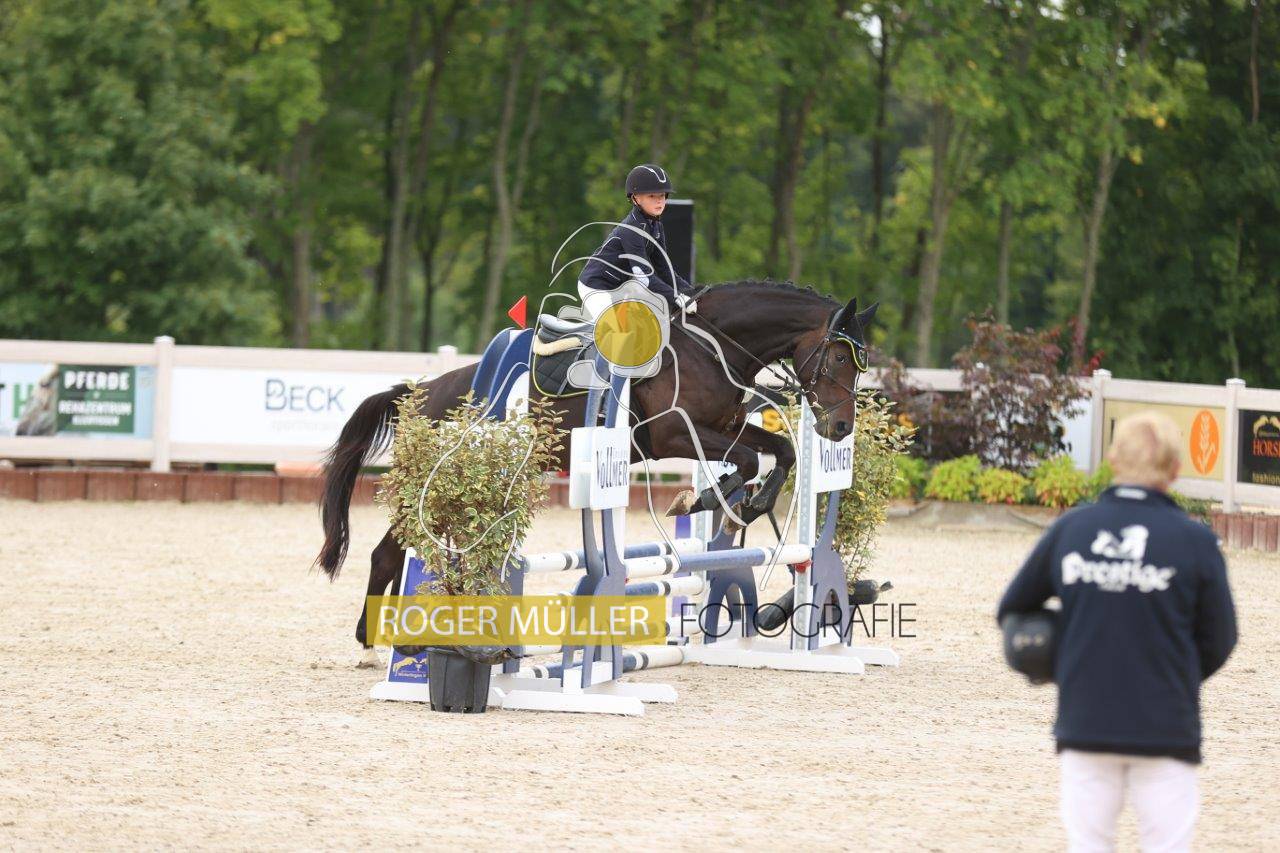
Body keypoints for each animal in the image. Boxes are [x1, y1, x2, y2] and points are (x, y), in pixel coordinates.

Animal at [313, 279, 877, 656]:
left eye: (860, 364)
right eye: (839, 359)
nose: (839, 427)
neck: (714, 347)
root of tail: (421, 393)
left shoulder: (726, 426)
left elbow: (781, 452)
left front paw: (745, 502)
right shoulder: (675, 434)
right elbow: (745, 459)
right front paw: (701, 499)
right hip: (439, 484)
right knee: (389, 552)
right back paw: (377, 639)